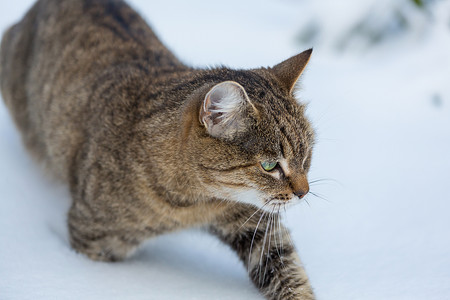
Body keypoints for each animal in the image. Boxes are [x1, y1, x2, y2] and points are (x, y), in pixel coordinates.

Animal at [0, 0, 316, 300]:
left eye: (306, 157)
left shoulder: (254, 224)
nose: (304, 192)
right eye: (269, 166)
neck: (195, 204)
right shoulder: (92, 237)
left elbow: (287, 270)